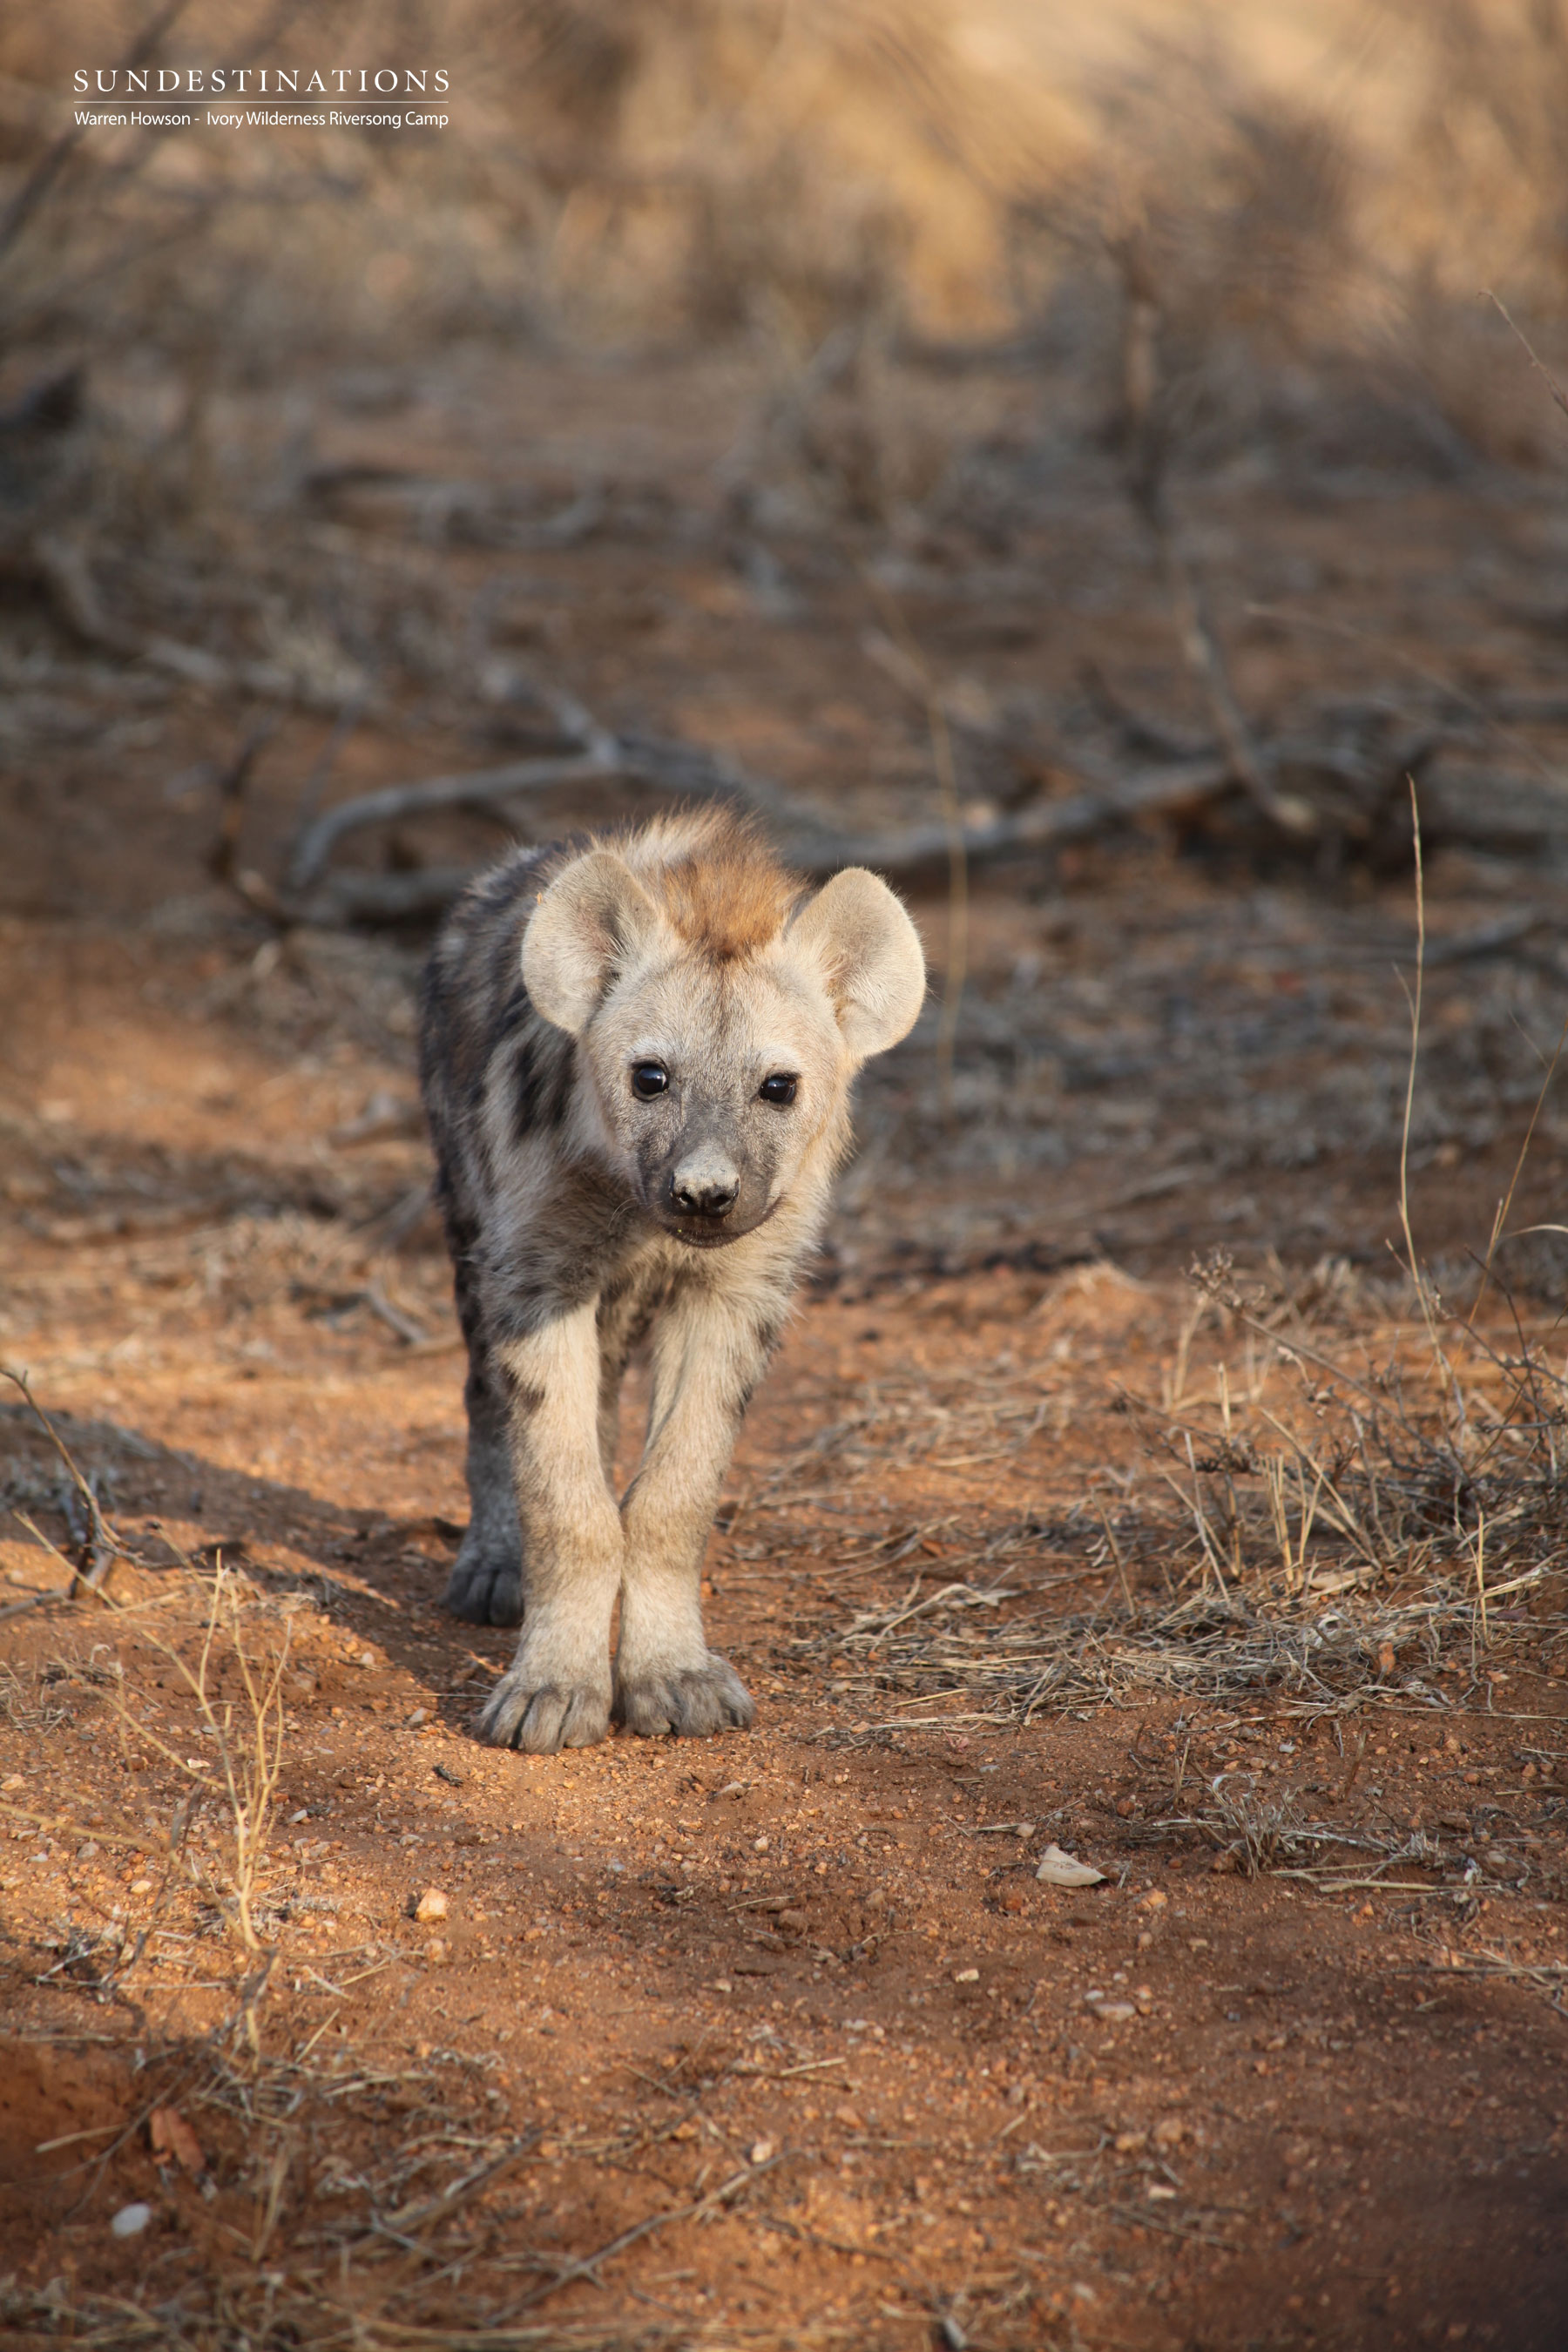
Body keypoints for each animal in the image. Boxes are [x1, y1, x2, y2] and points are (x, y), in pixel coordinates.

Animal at [419, 809, 925, 1754]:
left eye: (779, 1087)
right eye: (649, 1077)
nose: (704, 1192)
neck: (634, 1214)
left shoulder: (738, 1290)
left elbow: (674, 1492)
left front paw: (673, 1678)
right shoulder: (536, 1269)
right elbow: (564, 1493)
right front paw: (551, 1689)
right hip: (468, 1216)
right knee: (485, 1391)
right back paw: (495, 1568)